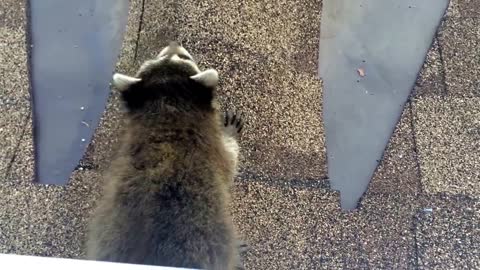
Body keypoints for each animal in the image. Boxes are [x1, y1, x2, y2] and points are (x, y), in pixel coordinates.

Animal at [85, 42, 246, 270]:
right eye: (185, 57)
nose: (174, 43)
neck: (167, 106)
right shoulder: (212, 148)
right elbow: (230, 161)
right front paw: (230, 134)